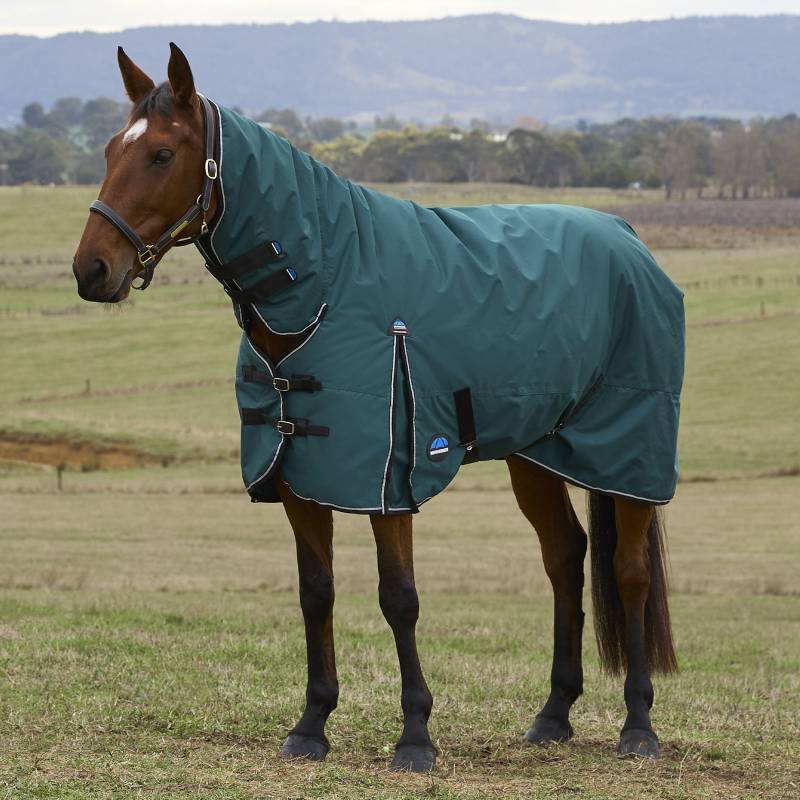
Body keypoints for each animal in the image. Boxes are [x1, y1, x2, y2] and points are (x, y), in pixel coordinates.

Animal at [72, 43, 682, 772]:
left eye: (162, 154)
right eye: (111, 149)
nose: (90, 270)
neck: (327, 286)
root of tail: (628, 237)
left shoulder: (389, 480)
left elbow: (399, 599)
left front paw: (415, 735)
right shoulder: (302, 475)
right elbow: (316, 593)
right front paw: (312, 724)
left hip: (627, 455)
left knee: (629, 572)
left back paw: (639, 725)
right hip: (535, 453)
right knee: (565, 558)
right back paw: (553, 714)